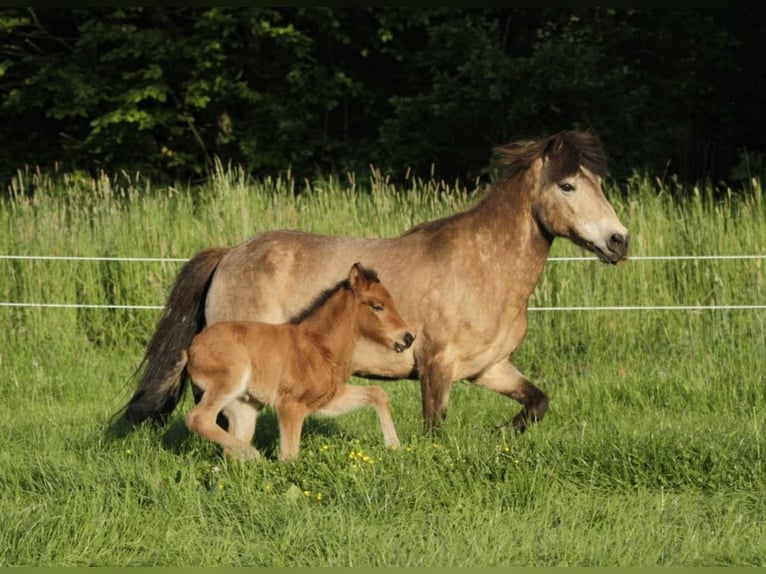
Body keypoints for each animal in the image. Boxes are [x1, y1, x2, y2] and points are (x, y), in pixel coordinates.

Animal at [121, 129, 629, 434]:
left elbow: (537, 402)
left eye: (600, 184)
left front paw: (502, 432)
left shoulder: (490, 368)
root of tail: (228, 254)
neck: (486, 268)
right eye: (567, 186)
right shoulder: (436, 364)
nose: (619, 241)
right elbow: (434, 427)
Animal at [165, 262, 413, 461]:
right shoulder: (290, 406)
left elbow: (377, 393)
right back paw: (254, 455)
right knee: (198, 418)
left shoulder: (327, 400)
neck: (318, 346)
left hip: (244, 407)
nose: (408, 337)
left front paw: (394, 446)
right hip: (229, 381)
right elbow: (289, 457)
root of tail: (191, 349)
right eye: (377, 306)